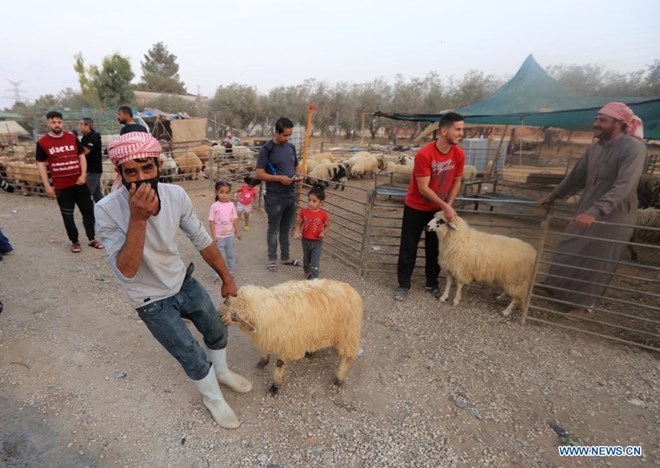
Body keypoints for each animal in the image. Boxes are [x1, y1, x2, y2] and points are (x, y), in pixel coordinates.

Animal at [222, 280, 366, 394]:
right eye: (225, 303)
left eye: (234, 316)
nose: (220, 317)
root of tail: (352, 291)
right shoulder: (268, 333)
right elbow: (265, 350)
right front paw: (262, 362)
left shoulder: (285, 342)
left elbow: (279, 364)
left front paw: (275, 387)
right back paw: (312, 353)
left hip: (348, 333)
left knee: (347, 357)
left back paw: (339, 379)